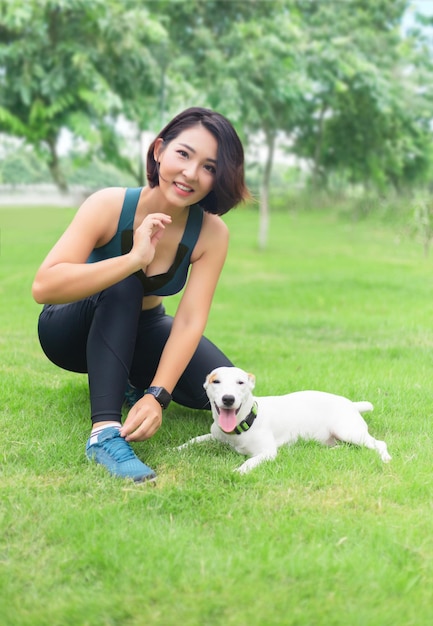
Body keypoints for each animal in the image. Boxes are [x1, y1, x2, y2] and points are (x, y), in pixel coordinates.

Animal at [177, 364, 390, 470]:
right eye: (216, 381)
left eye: (241, 382)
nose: (228, 399)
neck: (242, 425)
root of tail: (352, 404)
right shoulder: (215, 435)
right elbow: (195, 439)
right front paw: (177, 449)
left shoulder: (267, 452)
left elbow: (250, 461)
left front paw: (240, 471)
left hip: (348, 430)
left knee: (379, 443)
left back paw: (385, 458)